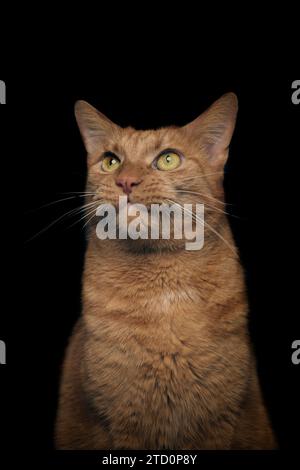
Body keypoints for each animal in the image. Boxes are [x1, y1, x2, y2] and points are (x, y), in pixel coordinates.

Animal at [55, 93, 276, 450]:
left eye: (168, 159)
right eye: (111, 161)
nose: (125, 181)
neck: (161, 289)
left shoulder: (218, 420)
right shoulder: (118, 421)